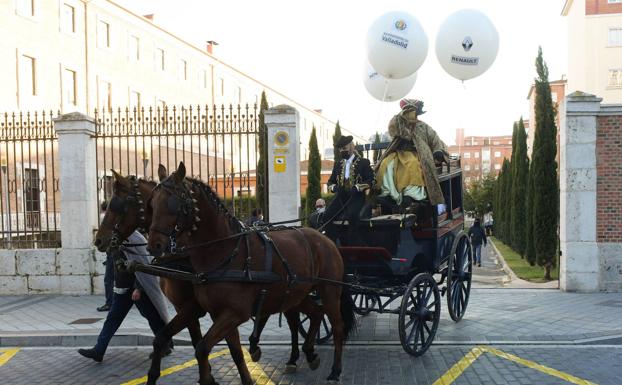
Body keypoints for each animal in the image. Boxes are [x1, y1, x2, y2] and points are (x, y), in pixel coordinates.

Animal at [146, 162, 356, 384]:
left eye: (173, 204)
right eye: (152, 204)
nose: (154, 245)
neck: (225, 250)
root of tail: (325, 239)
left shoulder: (235, 312)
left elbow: (202, 348)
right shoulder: (214, 312)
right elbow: (233, 350)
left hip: (329, 290)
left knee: (337, 325)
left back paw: (335, 369)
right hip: (296, 294)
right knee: (315, 314)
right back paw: (309, 352)